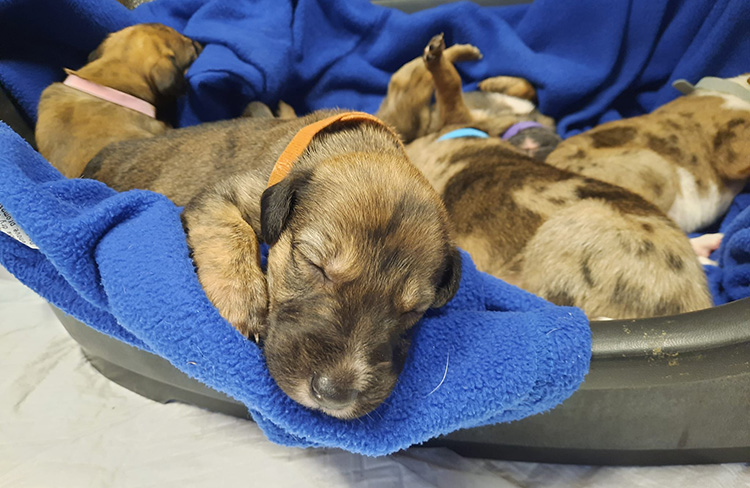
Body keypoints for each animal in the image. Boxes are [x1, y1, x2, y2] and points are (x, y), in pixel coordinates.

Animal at [81, 110, 458, 420]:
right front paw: (240, 305)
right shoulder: (226, 195)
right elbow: (232, 232)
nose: (334, 395)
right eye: (315, 265)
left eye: (414, 310)